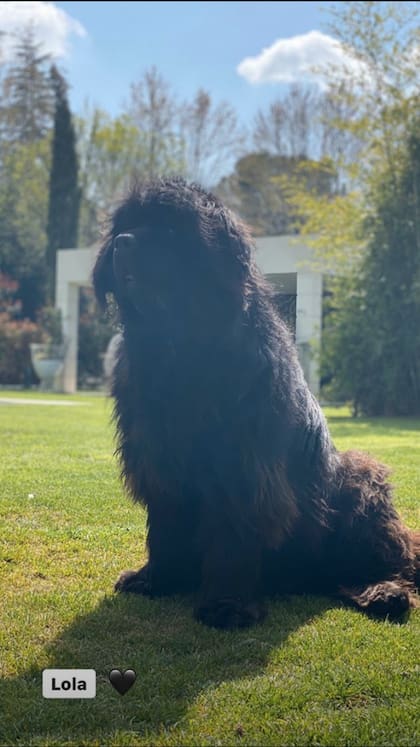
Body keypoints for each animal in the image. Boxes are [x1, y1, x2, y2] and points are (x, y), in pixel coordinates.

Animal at [93, 178, 418, 628]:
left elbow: (234, 531)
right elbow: (165, 525)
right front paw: (156, 578)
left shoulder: (243, 465)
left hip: (359, 479)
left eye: (172, 229)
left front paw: (226, 604)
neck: (181, 347)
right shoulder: (158, 459)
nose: (122, 244)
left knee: (391, 558)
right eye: (125, 225)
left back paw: (385, 592)